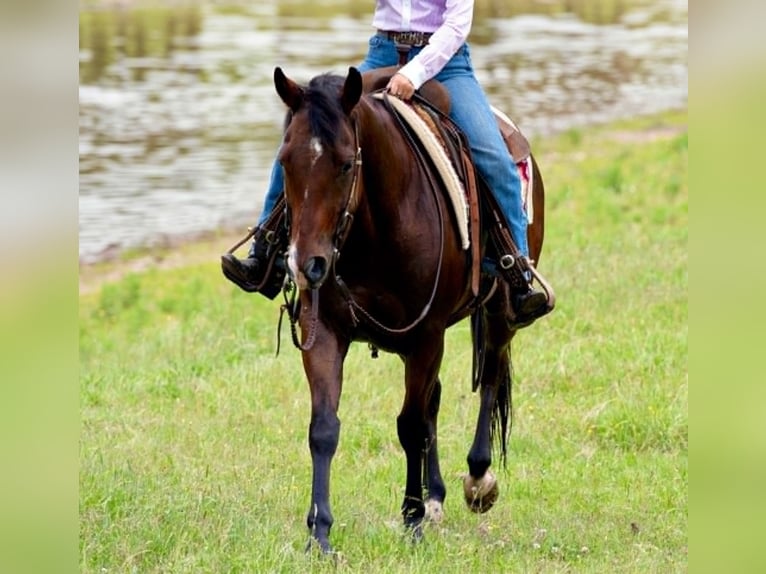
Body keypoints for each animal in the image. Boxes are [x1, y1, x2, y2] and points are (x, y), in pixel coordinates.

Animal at [271, 65, 547, 553]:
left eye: (346, 163)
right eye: (285, 161)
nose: (306, 265)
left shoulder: (426, 335)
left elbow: (411, 427)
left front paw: (413, 518)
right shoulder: (325, 331)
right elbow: (324, 428)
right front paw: (319, 533)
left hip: (500, 313)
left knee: (490, 378)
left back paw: (478, 480)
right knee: (435, 398)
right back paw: (436, 496)